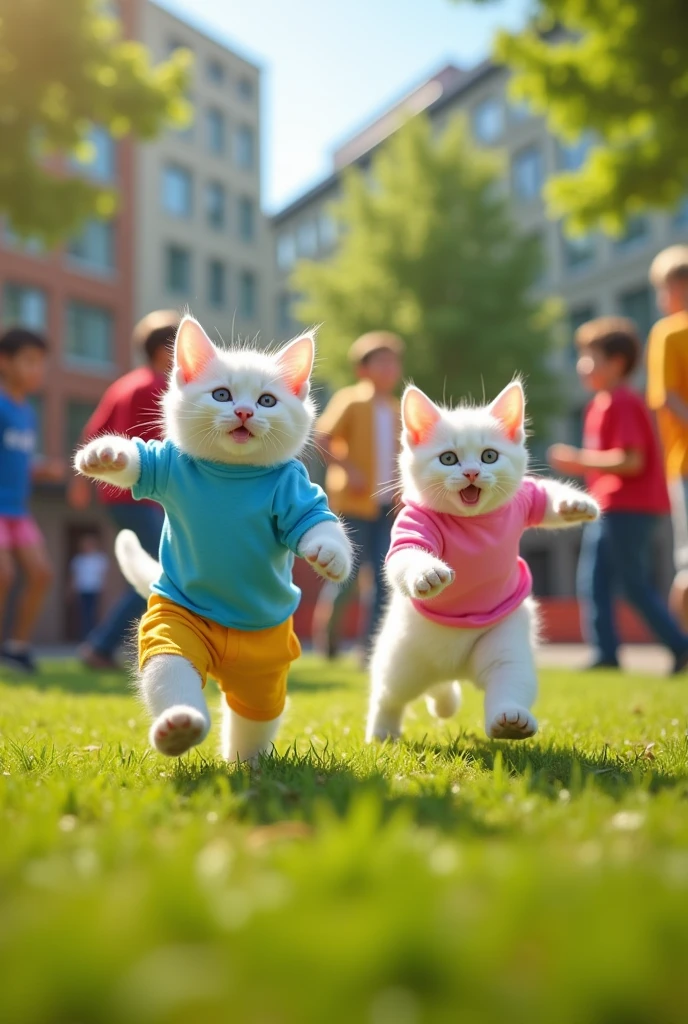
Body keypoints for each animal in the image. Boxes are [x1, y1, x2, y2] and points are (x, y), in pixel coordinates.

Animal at [364, 382, 597, 745]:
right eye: (448, 458)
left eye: (490, 455)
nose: (471, 471)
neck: (473, 522)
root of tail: (454, 668)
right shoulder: (414, 522)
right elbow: (405, 556)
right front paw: (427, 572)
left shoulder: (522, 502)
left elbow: (542, 494)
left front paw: (574, 503)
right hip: (403, 658)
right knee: (389, 693)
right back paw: (381, 732)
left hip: (502, 640)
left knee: (507, 675)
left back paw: (509, 719)